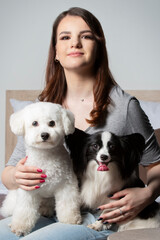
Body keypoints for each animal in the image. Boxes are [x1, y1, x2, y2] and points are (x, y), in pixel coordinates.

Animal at [0, 101, 81, 236]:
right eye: (34, 123)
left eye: (52, 123)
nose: (44, 134)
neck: (46, 155)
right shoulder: (28, 190)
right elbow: (24, 210)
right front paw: (20, 227)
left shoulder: (66, 185)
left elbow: (67, 204)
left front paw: (70, 219)